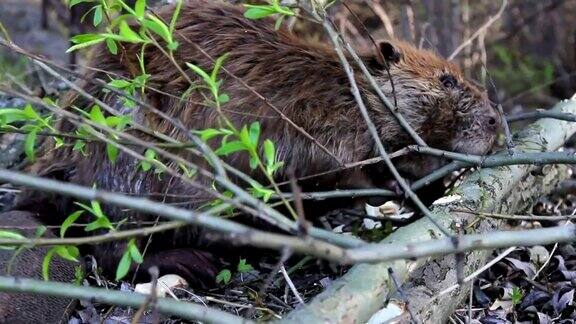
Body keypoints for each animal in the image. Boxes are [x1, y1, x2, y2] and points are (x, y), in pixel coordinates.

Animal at [5, 0, 500, 288]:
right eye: (447, 80)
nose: (496, 121)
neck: (343, 87)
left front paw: (434, 183)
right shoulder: (313, 124)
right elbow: (334, 171)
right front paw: (399, 185)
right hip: (130, 143)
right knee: (113, 247)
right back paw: (196, 262)